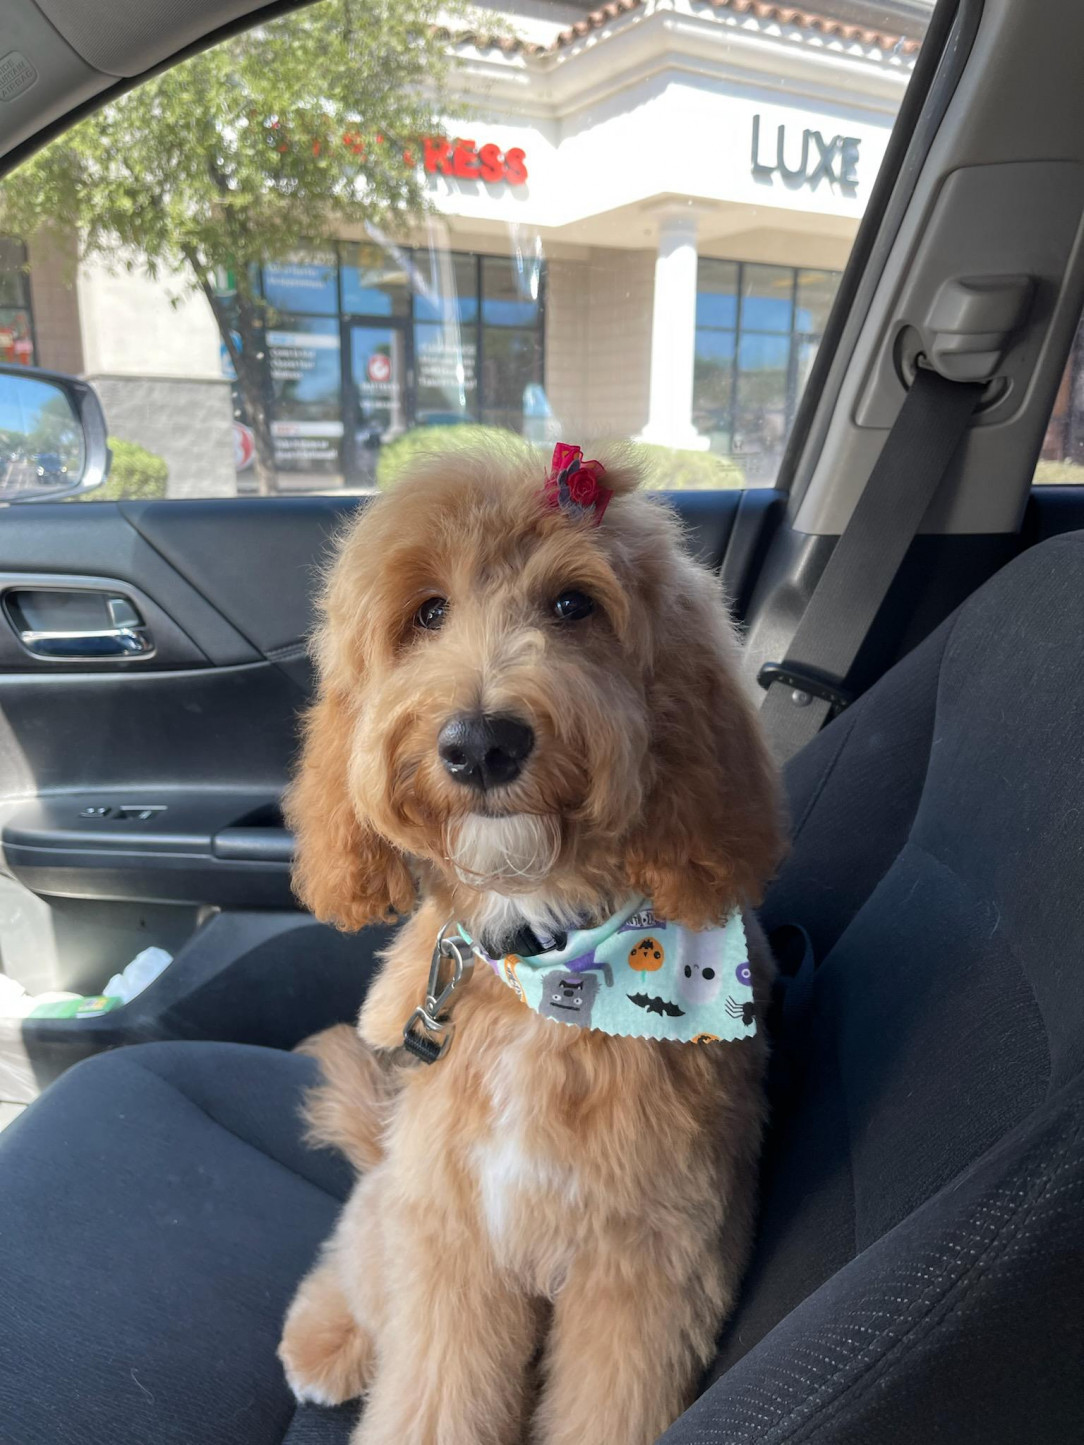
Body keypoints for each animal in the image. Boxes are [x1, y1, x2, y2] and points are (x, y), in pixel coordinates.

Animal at [277, 433, 792, 1439]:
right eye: (427, 612)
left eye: (573, 604)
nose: (480, 743)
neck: (546, 960)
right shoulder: (450, 1236)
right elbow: (432, 1393)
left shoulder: (650, 1265)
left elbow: (610, 1400)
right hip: (397, 1193)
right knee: (354, 1251)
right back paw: (326, 1335)